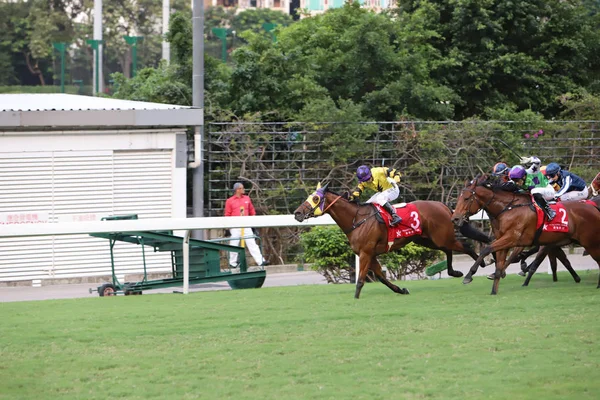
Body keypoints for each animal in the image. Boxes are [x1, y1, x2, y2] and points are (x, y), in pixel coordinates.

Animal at [294, 183, 488, 298]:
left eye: (316, 198)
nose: (297, 213)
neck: (357, 219)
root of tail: (444, 206)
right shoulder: (370, 254)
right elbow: (381, 277)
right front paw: (401, 289)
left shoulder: (365, 253)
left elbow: (361, 279)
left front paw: (356, 297)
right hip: (427, 240)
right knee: (449, 250)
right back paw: (456, 272)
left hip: (441, 237)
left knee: (465, 246)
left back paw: (479, 266)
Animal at [452, 175, 600, 294]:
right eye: (459, 197)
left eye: (466, 198)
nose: (455, 219)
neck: (507, 208)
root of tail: (593, 207)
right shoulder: (505, 240)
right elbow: (499, 263)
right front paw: (494, 289)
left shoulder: (512, 238)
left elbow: (486, 250)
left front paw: (469, 276)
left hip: (590, 243)